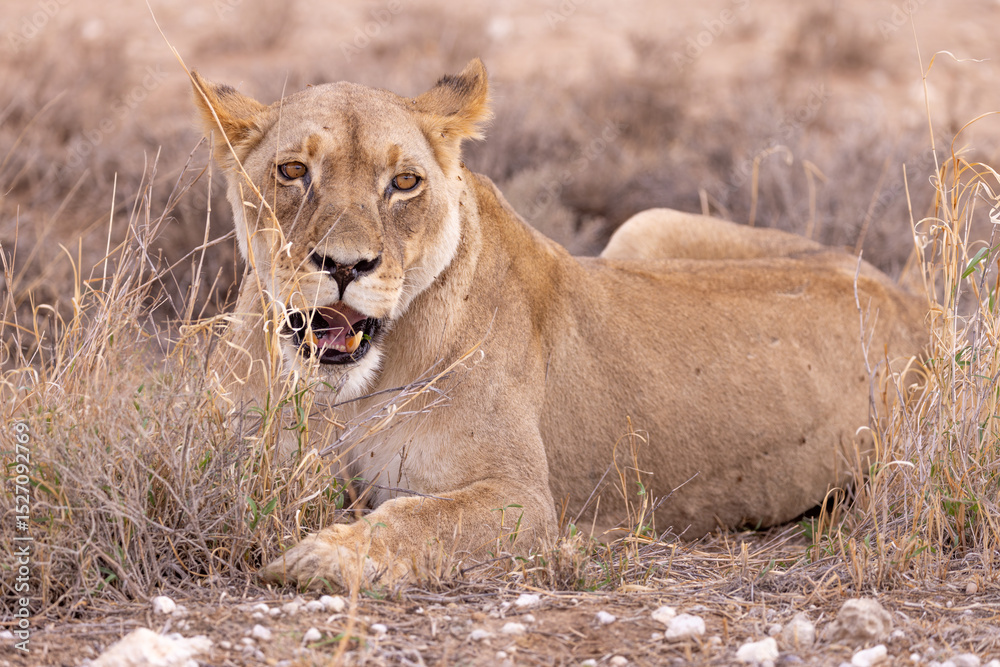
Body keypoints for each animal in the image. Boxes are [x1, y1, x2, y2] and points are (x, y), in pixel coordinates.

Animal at [191, 59, 926, 589]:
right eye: (293, 171)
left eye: (403, 183)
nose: (346, 264)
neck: (347, 394)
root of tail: (909, 299)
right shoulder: (230, 450)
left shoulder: (523, 500)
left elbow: (418, 517)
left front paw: (322, 557)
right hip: (646, 227)